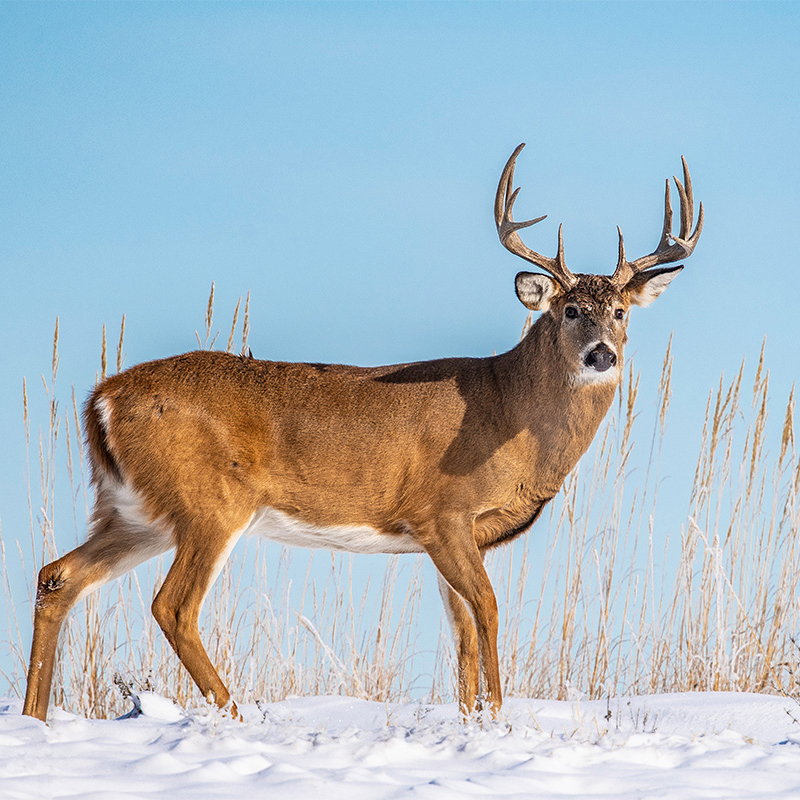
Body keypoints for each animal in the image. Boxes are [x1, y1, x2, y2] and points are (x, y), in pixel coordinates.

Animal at [23, 144, 703, 722]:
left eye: (620, 312)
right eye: (568, 309)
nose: (600, 355)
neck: (508, 409)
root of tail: (101, 400)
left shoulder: (458, 537)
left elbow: (461, 630)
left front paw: (471, 722)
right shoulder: (442, 512)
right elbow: (487, 610)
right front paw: (500, 718)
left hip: (133, 510)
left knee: (57, 577)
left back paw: (35, 720)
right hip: (210, 503)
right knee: (173, 605)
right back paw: (237, 717)